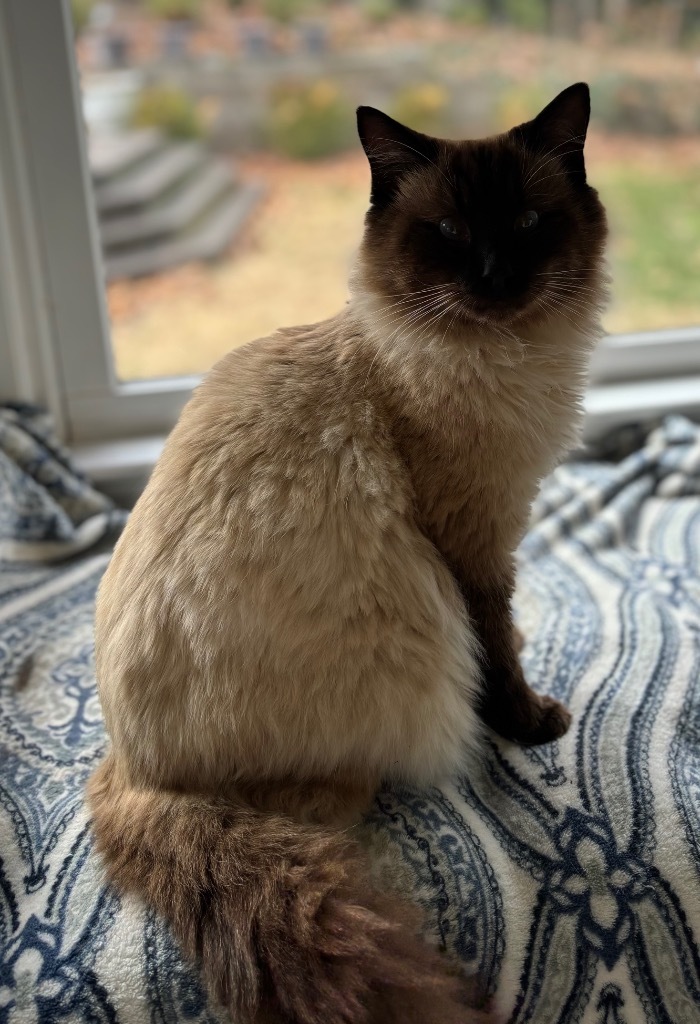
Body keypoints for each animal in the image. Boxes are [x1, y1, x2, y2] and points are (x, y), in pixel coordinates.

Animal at [87, 81, 605, 1024]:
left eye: (525, 223)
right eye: (448, 233)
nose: (493, 278)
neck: (501, 357)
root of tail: (129, 767)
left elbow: (507, 637)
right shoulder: (473, 544)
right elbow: (499, 647)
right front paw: (529, 725)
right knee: (316, 813)